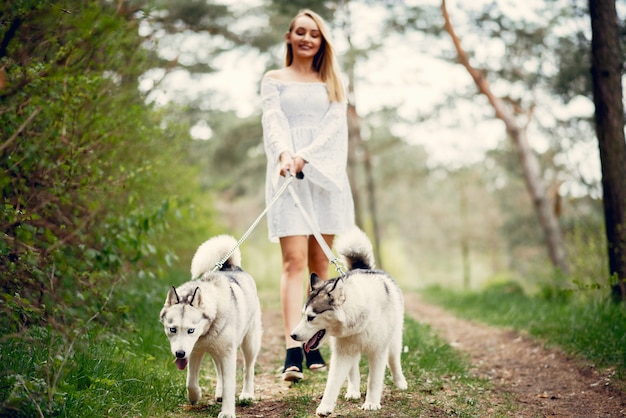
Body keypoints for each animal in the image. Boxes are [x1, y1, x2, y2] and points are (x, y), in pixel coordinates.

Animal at [160, 235, 262, 418]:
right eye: (172, 329)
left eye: (191, 330)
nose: (179, 353)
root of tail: (231, 266)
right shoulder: (194, 352)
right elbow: (190, 382)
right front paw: (195, 397)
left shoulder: (228, 354)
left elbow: (230, 384)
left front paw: (227, 412)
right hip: (216, 351)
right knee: (219, 370)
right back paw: (220, 393)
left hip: (249, 343)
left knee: (248, 369)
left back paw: (247, 394)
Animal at [290, 229, 408, 414]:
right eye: (303, 315)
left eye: (311, 317)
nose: (292, 335)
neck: (360, 319)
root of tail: (364, 268)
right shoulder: (342, 354)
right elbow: (332, 383)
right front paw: (325, 406)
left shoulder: (378, 351)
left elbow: (374, 380)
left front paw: (371, 403)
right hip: (350, 349)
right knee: (353, 372)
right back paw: (353, 391)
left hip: (393, 341)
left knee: (394, 360)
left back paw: (400, 382)